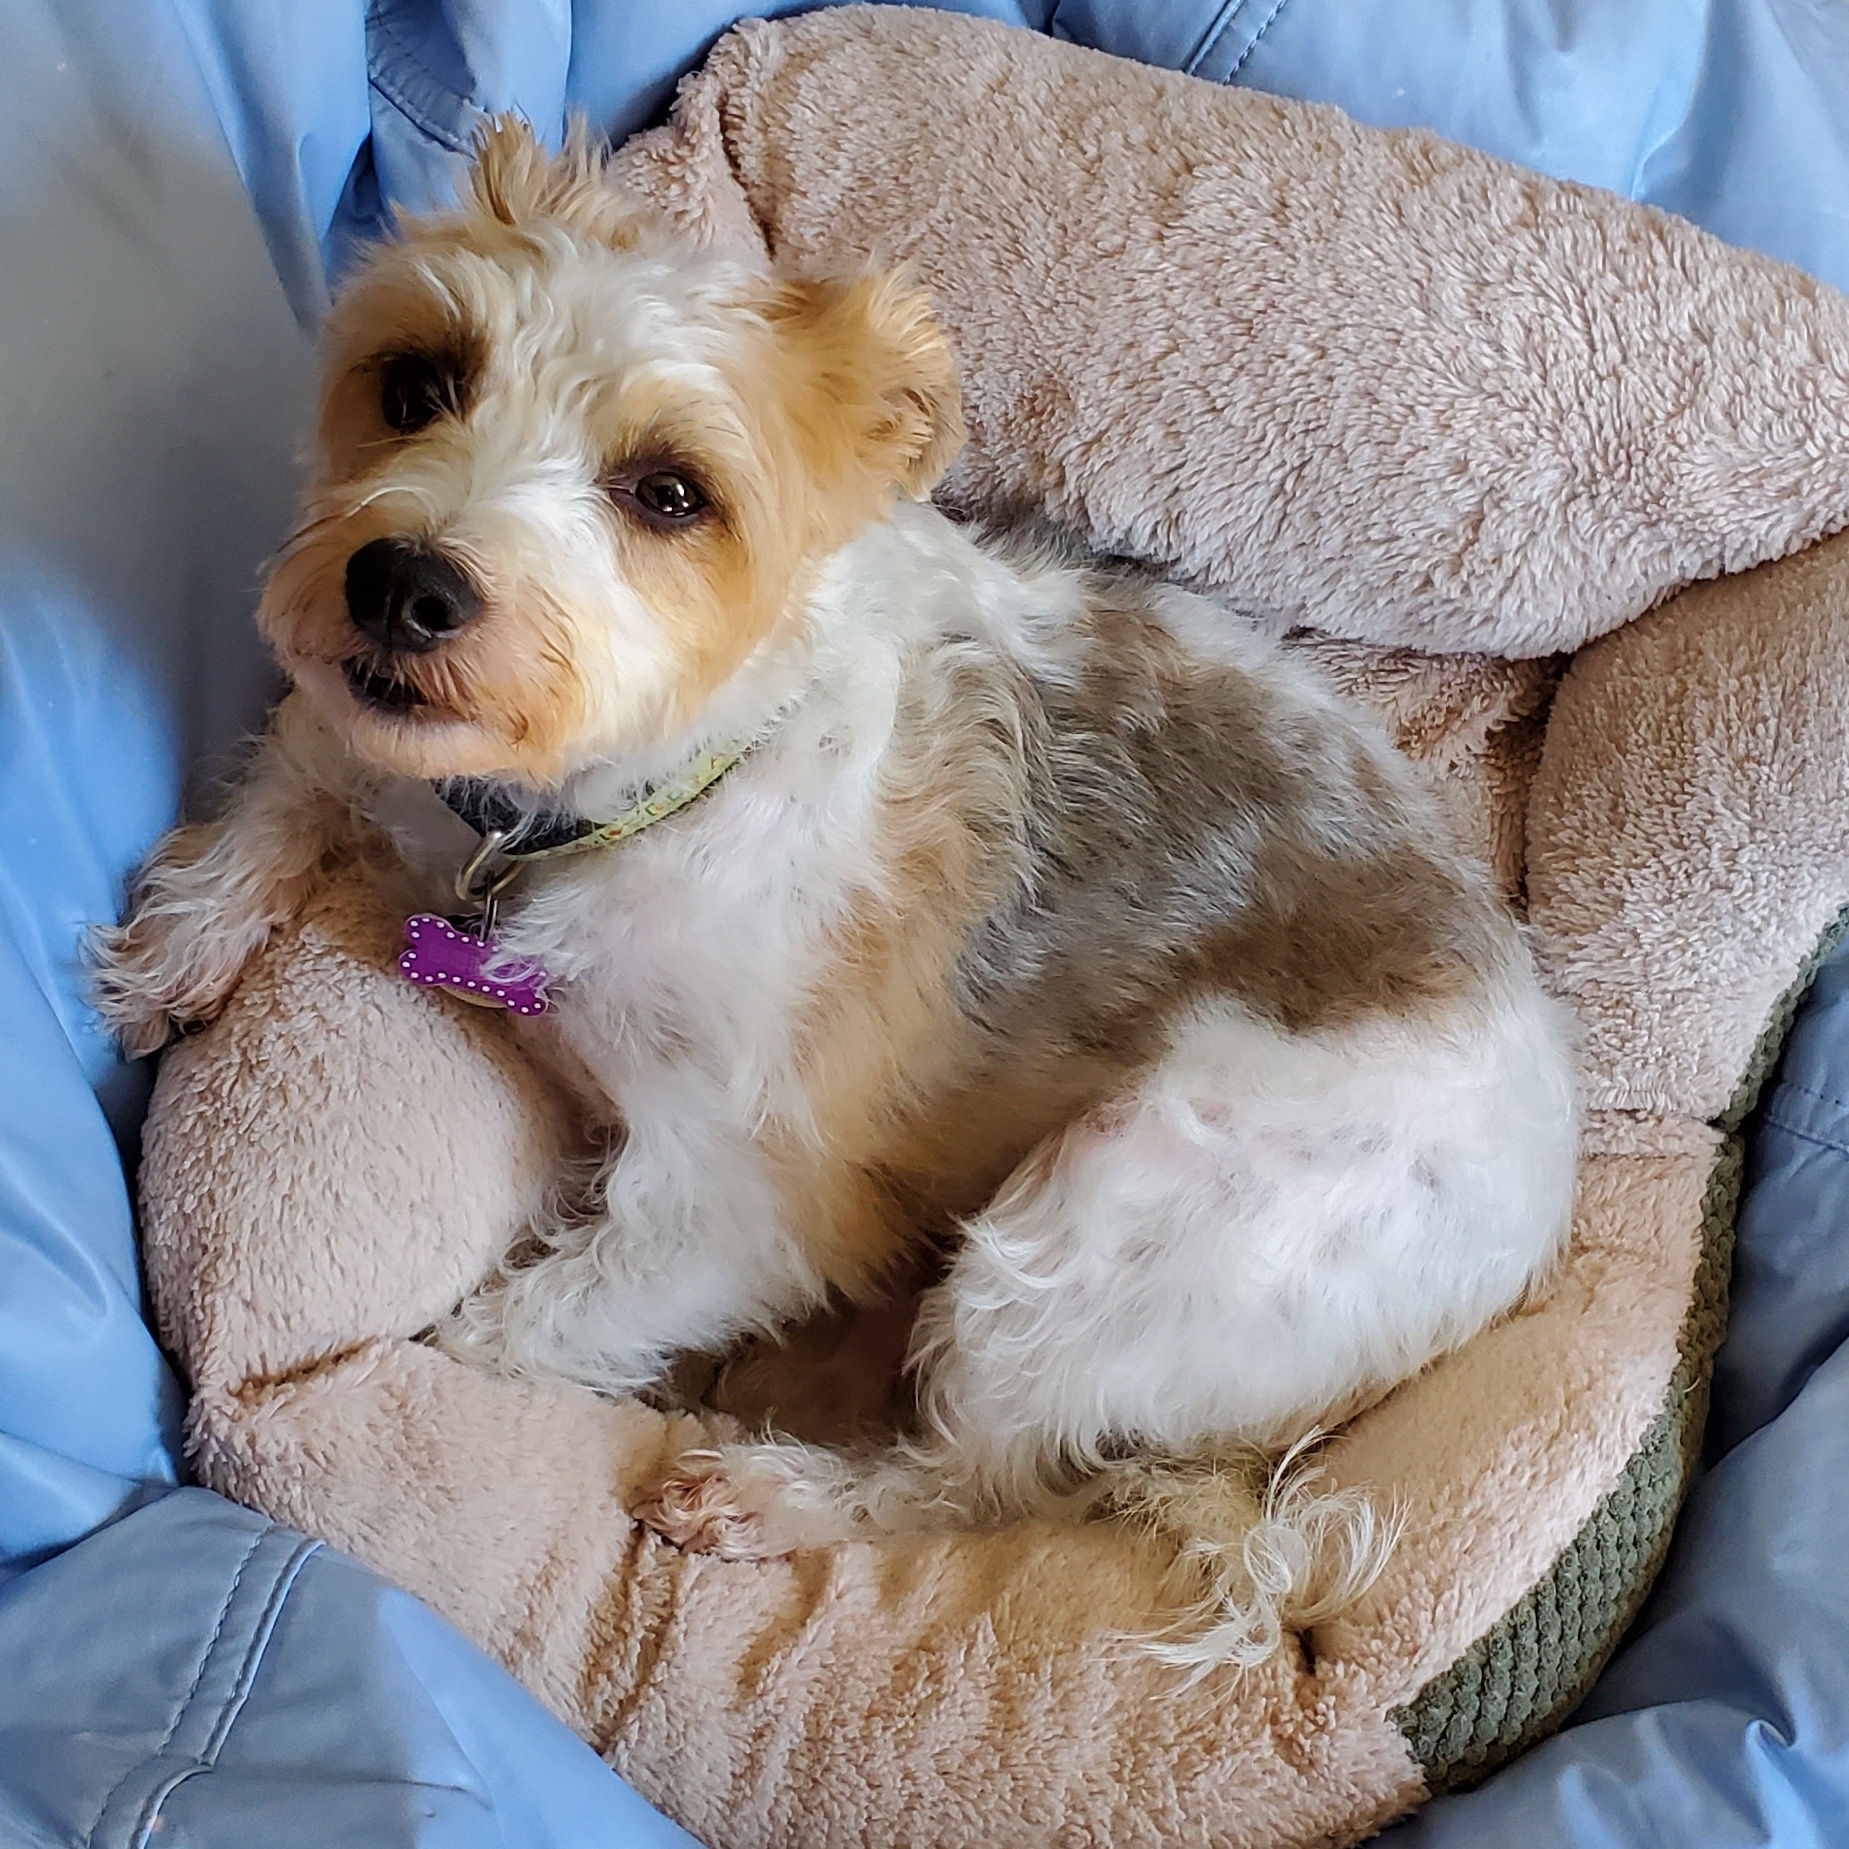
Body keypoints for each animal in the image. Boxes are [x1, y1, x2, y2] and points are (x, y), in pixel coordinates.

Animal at [93, 119, 1579, 1667]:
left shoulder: (741, 1208)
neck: (617, 797)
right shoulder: (375, 751)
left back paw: (770, 1486)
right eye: (415, 383)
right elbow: (298, 766)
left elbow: (508, 1329)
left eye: (669, 492)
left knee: (968, 1482)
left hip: (1102, 1229)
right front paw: (173, 953)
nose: (400, 583)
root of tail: (1550, 1174)